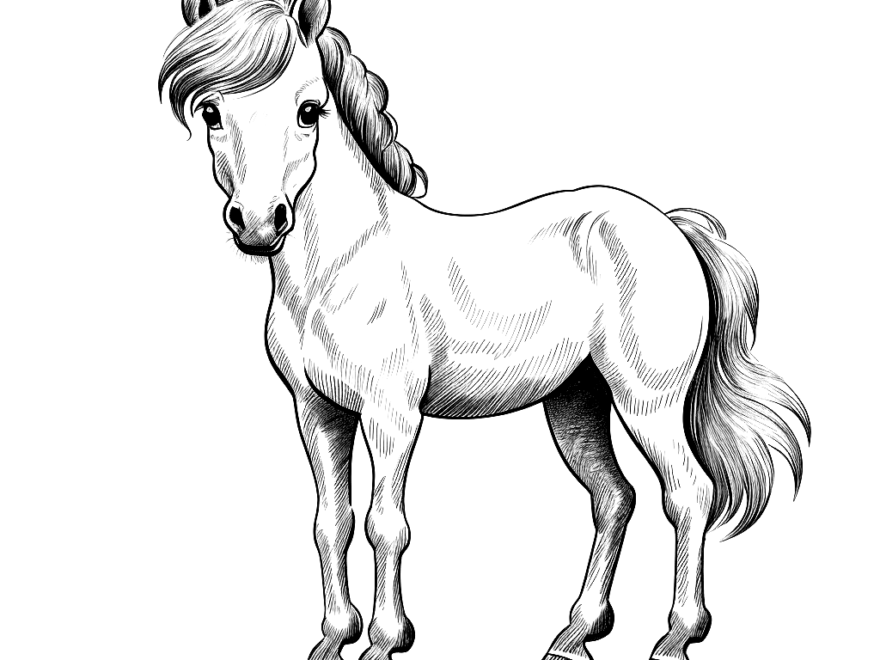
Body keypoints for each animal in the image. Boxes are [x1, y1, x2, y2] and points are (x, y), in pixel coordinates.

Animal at [159, 2, 811, 659]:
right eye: (211, 111)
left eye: (309, 109)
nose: (259, 223)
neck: (341, 266)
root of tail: (672, 228)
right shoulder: (318, 411)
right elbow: (331, 523)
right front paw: (334, 637)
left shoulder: (391, 412)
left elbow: (383, 524)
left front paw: (385, 640)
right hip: (577, 403)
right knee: (614, 497)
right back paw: (576, 632)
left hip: (647, 402)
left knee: (688, 494)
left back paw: (676, 635)